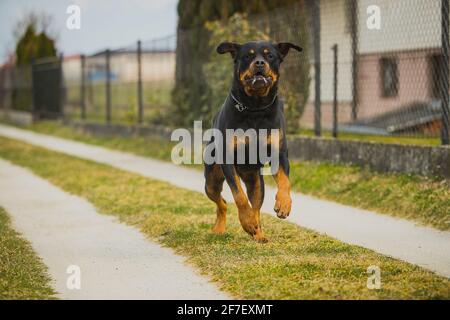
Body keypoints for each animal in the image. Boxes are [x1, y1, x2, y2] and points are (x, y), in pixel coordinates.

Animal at [205, 41, 302, 244]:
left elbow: (285, 181)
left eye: (270, 55)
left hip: (256, 181)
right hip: (211, 180)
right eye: (248, 55)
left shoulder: (279, 154)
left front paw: (284, 204)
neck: (256, 108)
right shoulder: (228, 160)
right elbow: (239, 196)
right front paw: (247, 222)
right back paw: (223, 228)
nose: (259, 63)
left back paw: (258, 233)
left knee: (256, 206)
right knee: (222, 202)